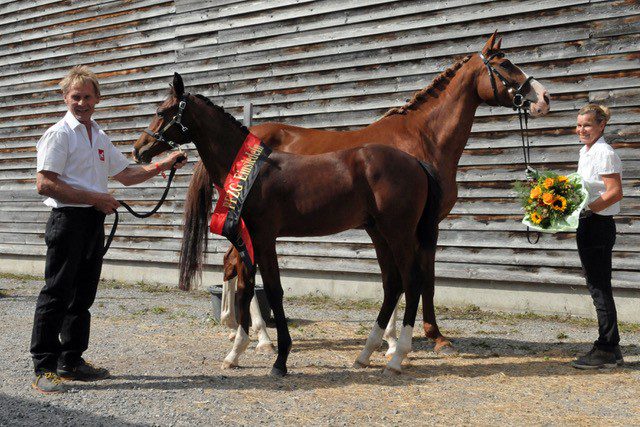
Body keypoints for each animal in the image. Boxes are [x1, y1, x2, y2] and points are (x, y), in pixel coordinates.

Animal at [133, 73, 442, 378]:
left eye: (161, 111)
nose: (139, 150)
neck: (252, 174)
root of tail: (416, 162)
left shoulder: (264, 237)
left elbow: (273, 291)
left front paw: (280, 360)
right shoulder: (246, 239)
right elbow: (246, 288)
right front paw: (236, 353)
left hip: (398, 232)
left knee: (412, 281)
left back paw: (396, 357)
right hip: (378, 232)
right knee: (392, 284)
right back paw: (365, 355)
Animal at [180, 32, 552, 354]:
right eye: (506, 64)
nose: (544, 98)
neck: (423, 138)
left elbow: (408, 276)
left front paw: (400, 337)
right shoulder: (418, 225)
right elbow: (420, 277)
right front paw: (421, 337)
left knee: (233, 265)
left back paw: (238, 329)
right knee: (237, 266)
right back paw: (260, 337)